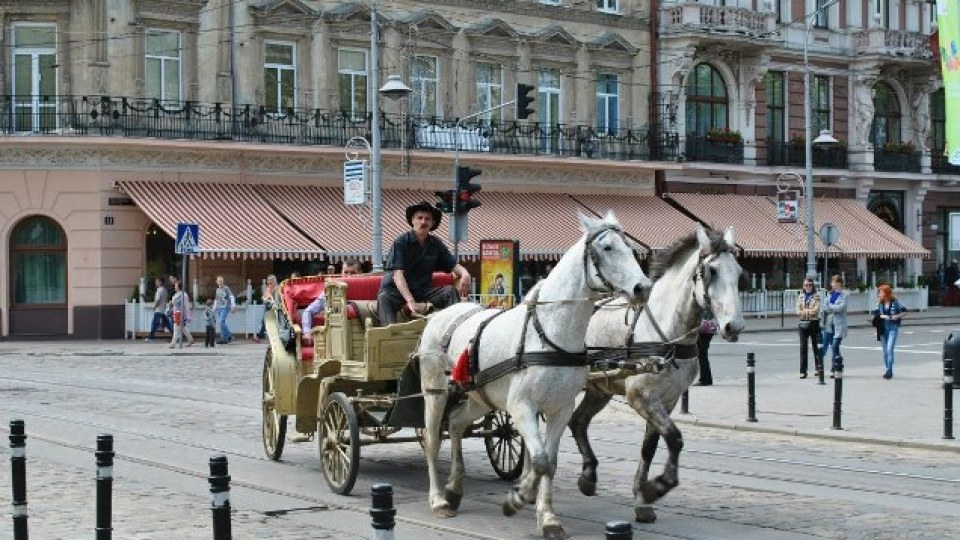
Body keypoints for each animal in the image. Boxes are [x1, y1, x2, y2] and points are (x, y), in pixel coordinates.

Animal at [414, 212, 652, 540]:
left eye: (630, 247)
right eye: (607, 247)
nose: (644, 287)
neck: (550, 332)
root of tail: (440, 314)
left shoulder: (560, 409)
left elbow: (548, 462)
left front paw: (547, 517)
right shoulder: (521, 407)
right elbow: (538, 460)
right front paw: (518, 497)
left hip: (480, 397)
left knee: (458, 422)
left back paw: (454, 488)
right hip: (435, 392)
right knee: (433, 437)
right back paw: (438, 498)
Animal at [568, 224, 748, 524]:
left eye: (739, 272)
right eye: (711, 271)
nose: (734, 326)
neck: (668, 331)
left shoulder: (667, 400)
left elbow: (650, 447)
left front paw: (642, 498)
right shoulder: (641, 397)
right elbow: (674, 438)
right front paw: (658, 487)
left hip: (599, 389)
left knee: (578, 422)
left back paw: (588, 476)